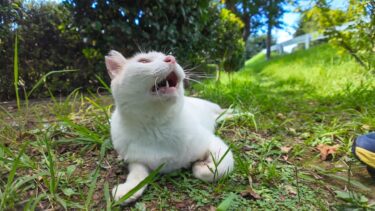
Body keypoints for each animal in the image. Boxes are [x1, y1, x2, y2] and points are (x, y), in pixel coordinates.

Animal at [106, 50, 234, 204]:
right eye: (143, 61)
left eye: (169, 56)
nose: (171, 59)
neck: (157, 126)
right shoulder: (137, 161)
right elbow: (137, 175)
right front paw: (128, 190)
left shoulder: (214, 143)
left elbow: (219, 168)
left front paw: (200, 167)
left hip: (216, 110)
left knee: (228, 111)